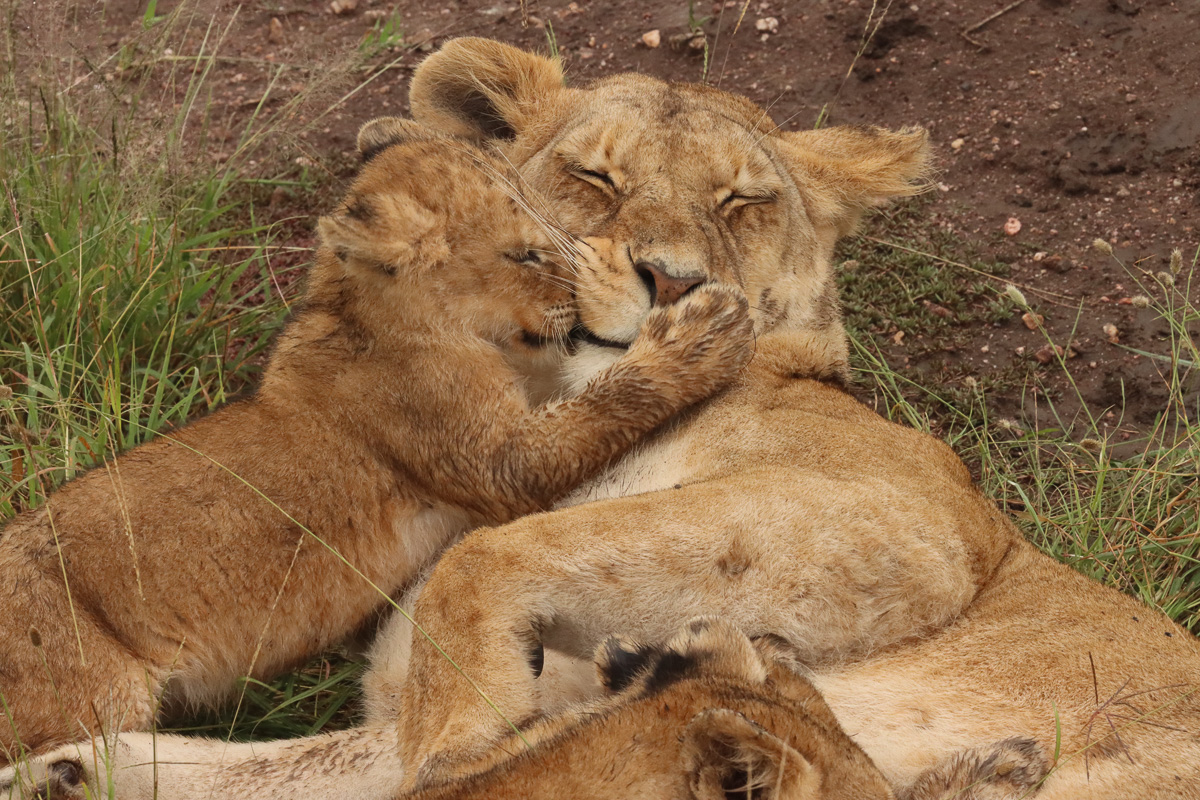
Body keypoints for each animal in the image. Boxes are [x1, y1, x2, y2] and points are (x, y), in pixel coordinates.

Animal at [0, 118, 753, 761]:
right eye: (524, 253)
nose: (574, 303)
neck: (362, 307)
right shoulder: (492, 457)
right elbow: (606, 401)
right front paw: (700, 334)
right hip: (89, 702)